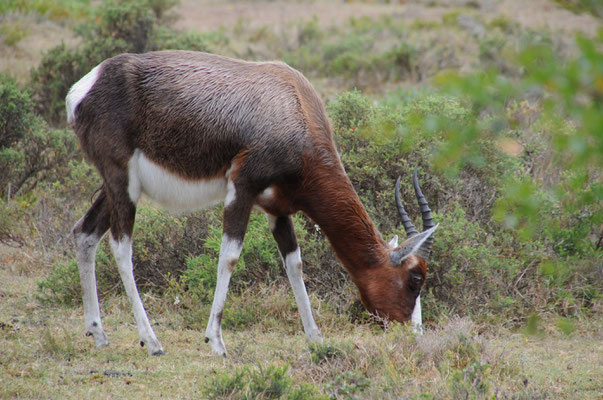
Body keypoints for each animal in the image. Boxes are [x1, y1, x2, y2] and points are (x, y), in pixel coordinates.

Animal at [67, 50, 438, 356]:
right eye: (415, 279)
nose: (412, 334)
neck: (292, 103)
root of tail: (85, 88)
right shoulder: (241, 190)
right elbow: (229, 257)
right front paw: (216, 341)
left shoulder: (278, 209)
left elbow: (294, 264)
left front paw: (315, 338)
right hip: (123, 183)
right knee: (121, 246)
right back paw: (152, 341)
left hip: (117, 187)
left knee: (85, 233)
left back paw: (98, 333)